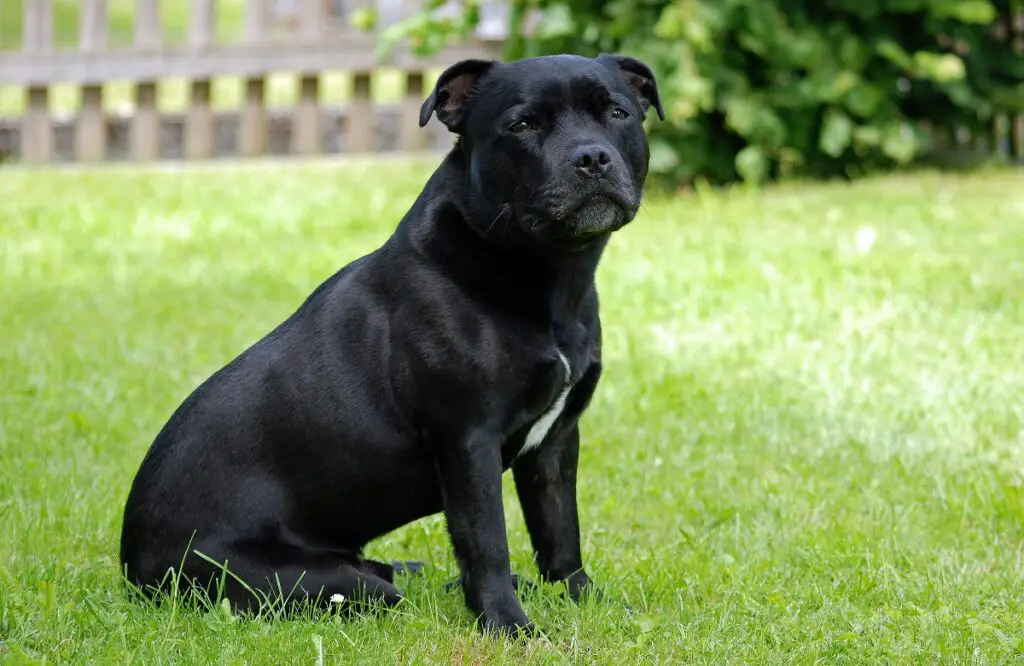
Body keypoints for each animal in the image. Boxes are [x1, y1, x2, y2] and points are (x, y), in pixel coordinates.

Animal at [119, 53, 663, 631]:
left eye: (617, 113)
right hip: (323, 584)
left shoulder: (556, 440)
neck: (551, 273)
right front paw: (507, 625)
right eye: (521, 125)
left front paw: (584, 600)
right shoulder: (468, 439)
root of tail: (134, 564)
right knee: (375, 588)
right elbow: (487, 541)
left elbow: (560, 532)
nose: (591, 157)